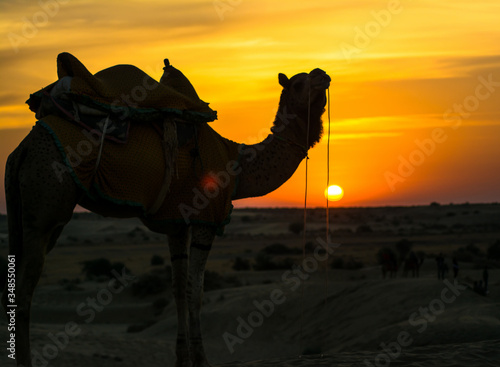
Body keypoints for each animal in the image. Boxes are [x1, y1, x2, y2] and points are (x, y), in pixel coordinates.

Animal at [1, 57, 330, 367]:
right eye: (299, 83)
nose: (323, 74)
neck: (238, 164)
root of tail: (22, 149)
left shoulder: (177, 222)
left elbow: (178, 288)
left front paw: (181, 359)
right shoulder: (205, 220)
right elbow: (196, 290)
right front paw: (202, 360)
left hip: (29, 210)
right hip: (46, 204)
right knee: (27, 284)